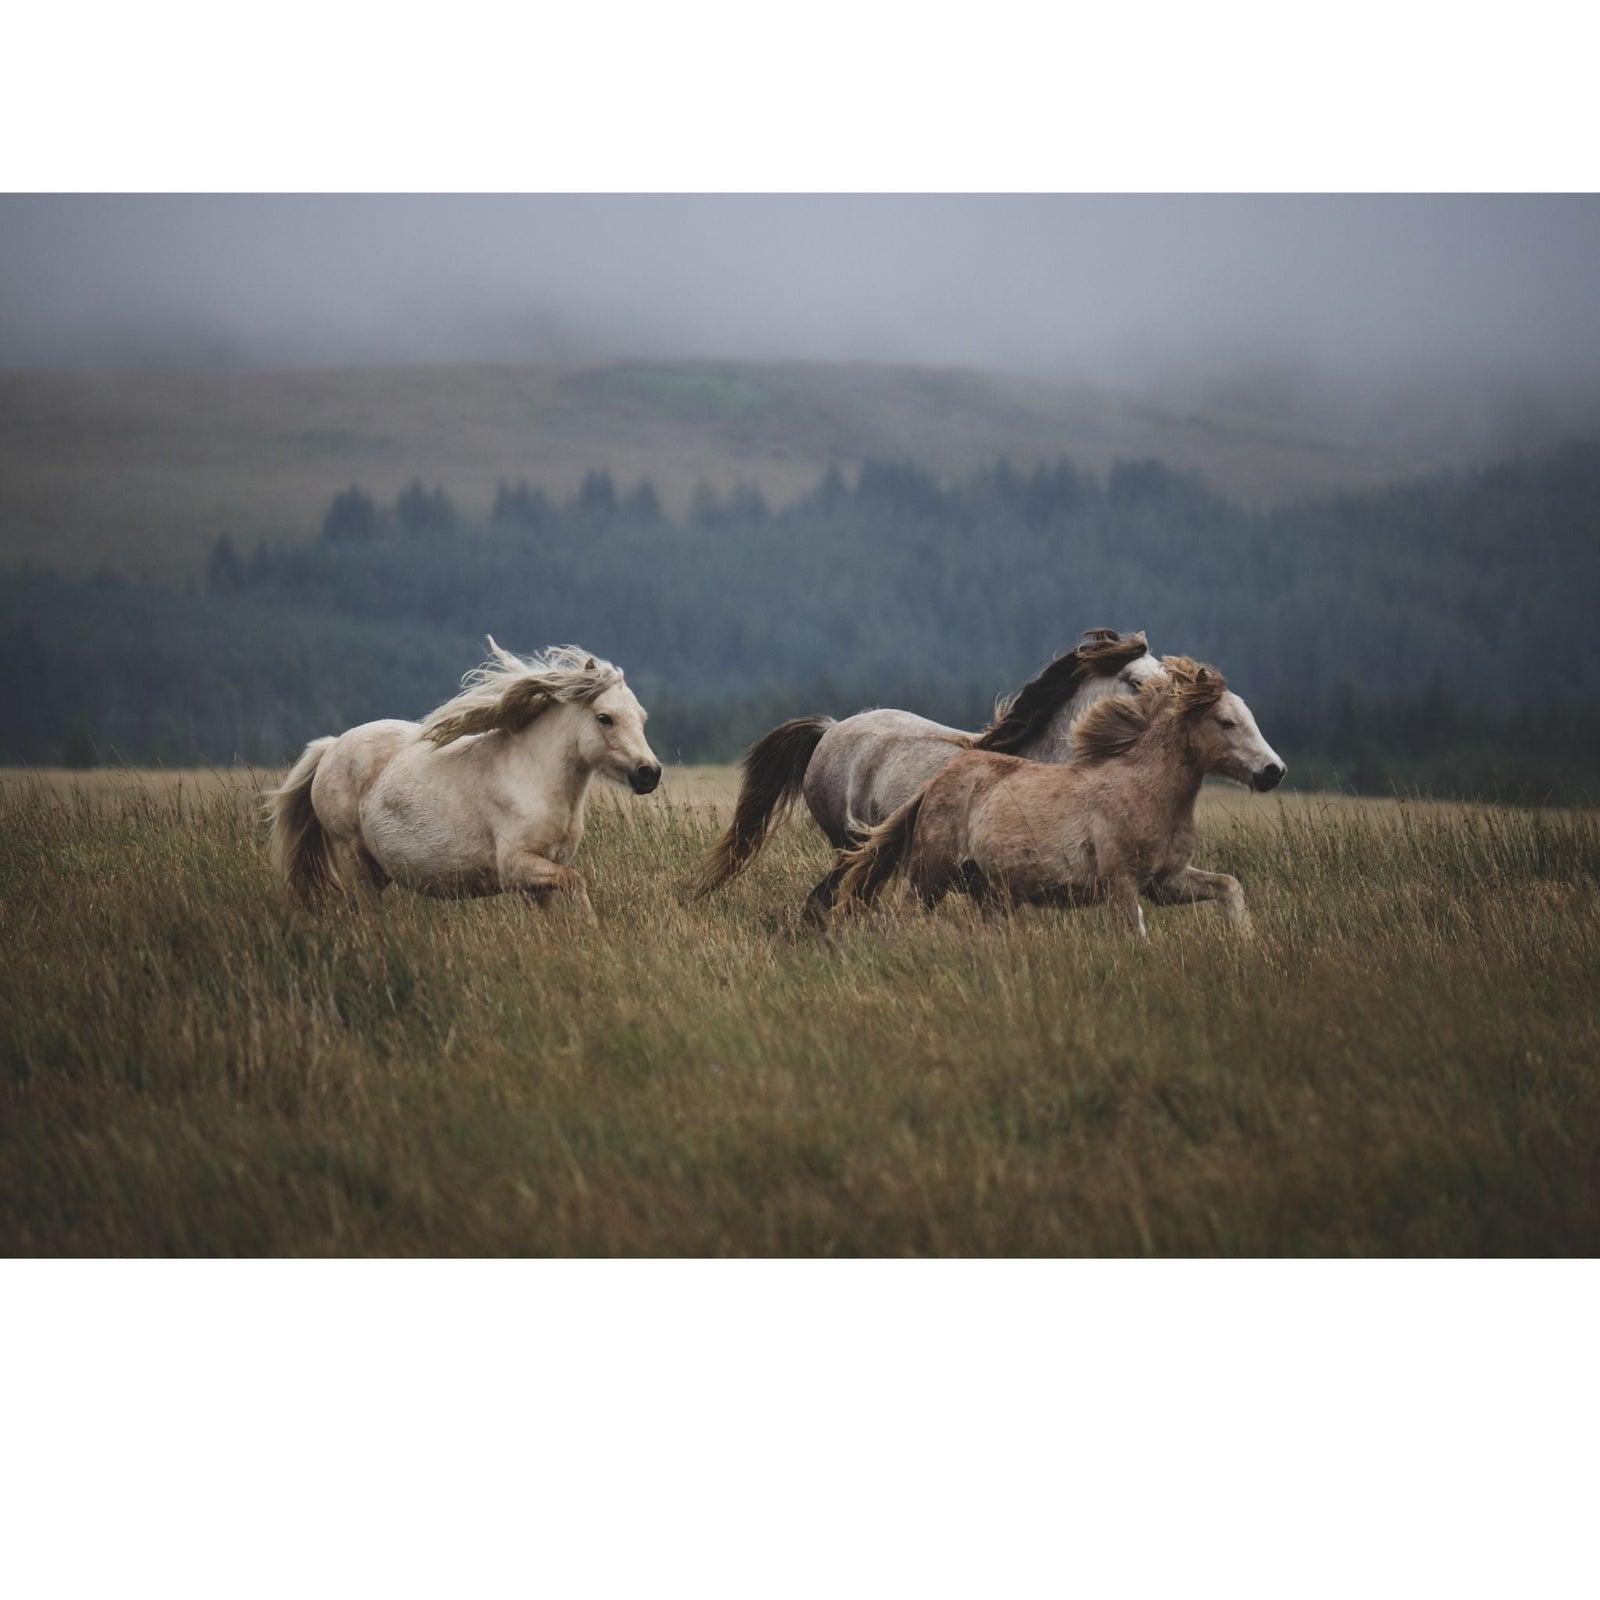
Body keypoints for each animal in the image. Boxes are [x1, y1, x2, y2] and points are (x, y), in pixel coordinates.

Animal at [266, 640, 662, 920]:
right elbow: (577, 882)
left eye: (642, 718)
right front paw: (591, 929)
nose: (649, 773)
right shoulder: (516, 867)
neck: (535, 777)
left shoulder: (539, 881)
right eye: (605, 718)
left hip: (376, 869)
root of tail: (331, 746)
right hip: (352, 855)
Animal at [831, 657, 1285, 937]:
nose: (1273, 771)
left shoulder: (1166, 882)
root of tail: (936, 782)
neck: (1145, 790)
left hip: (991, 893)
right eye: (1226, 722)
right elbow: (1135, 933)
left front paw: (1246, 942)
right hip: (930, 875)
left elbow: (1229, 886)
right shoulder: (1121, 882)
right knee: (905, 916)